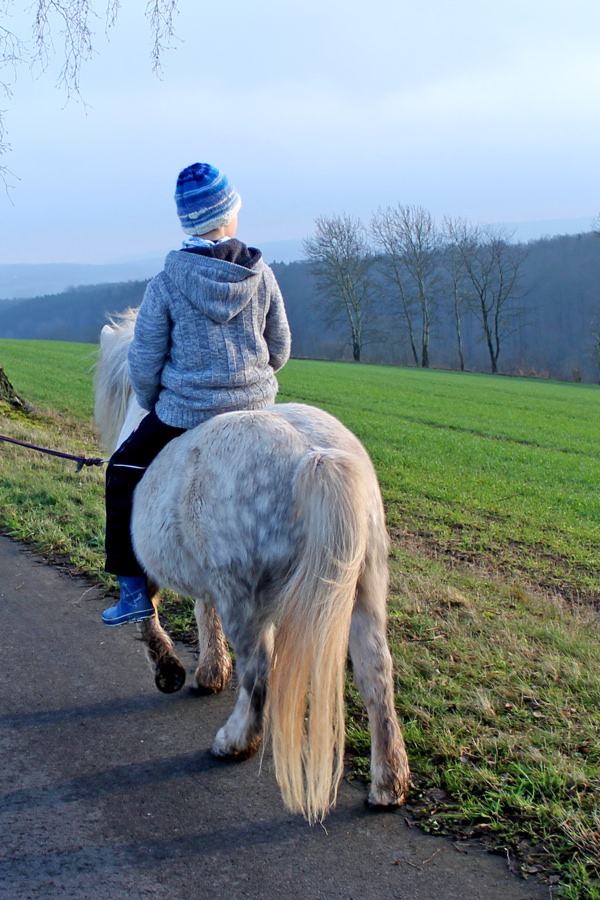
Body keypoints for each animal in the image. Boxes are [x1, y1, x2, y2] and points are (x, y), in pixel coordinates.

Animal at [95, 310, 412, 824]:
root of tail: (314, 454)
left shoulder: (158, 571)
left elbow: (145, 614)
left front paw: (170, 670)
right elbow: (202, 612)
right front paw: (209, 671)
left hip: (247, 600)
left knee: (261, 671)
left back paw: (234, 742)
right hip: (363, 591)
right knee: (376, 674)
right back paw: (388, 784)